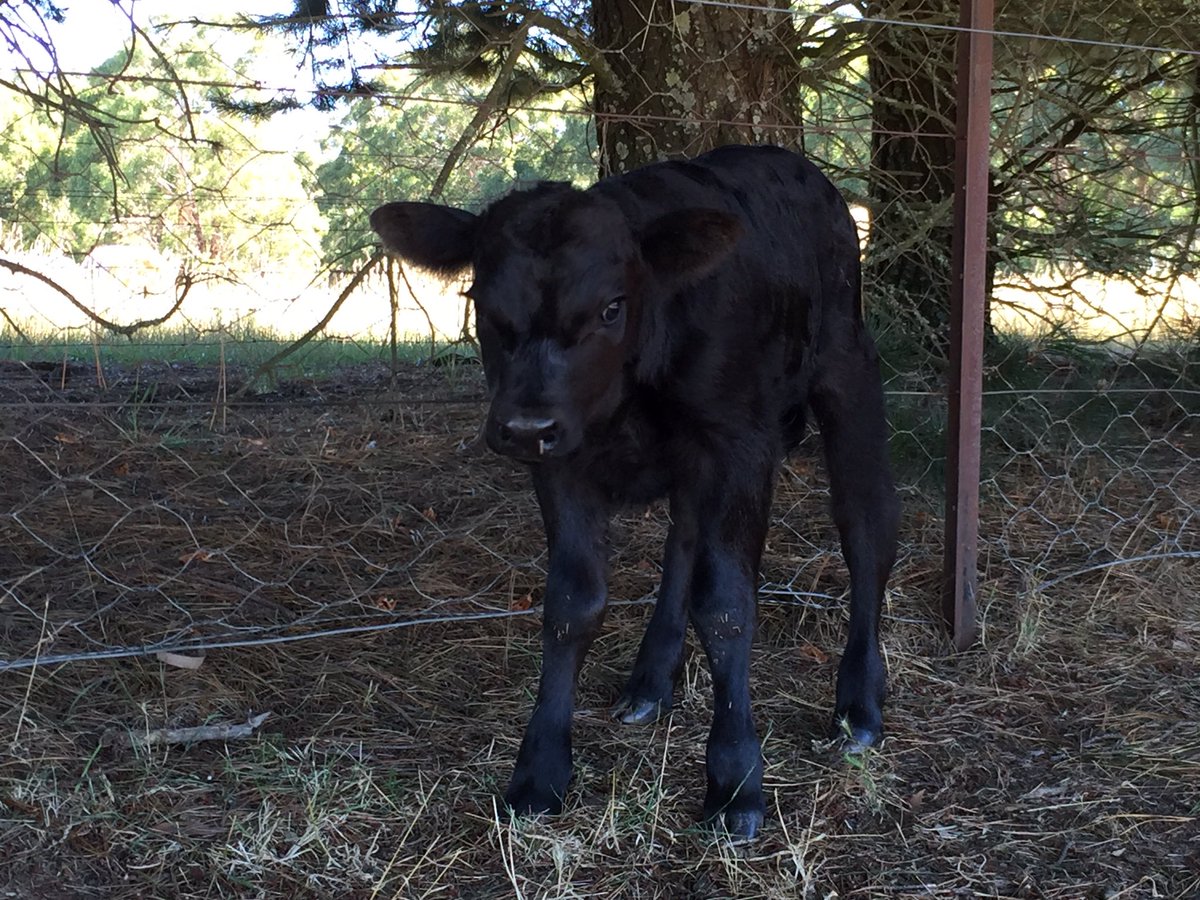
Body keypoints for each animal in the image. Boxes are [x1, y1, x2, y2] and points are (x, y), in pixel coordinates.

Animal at [370, 144, 899, 839]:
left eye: (611, 306)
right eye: (479, 298)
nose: (524, 427)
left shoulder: (739, 442)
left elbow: (726, 604)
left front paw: (736, 781)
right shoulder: (564, 462)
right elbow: (573, 604)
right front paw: (539, 771)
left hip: (846, 366)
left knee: (865, 528)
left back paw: (859, 704)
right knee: (684, 541)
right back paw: (651, 680)